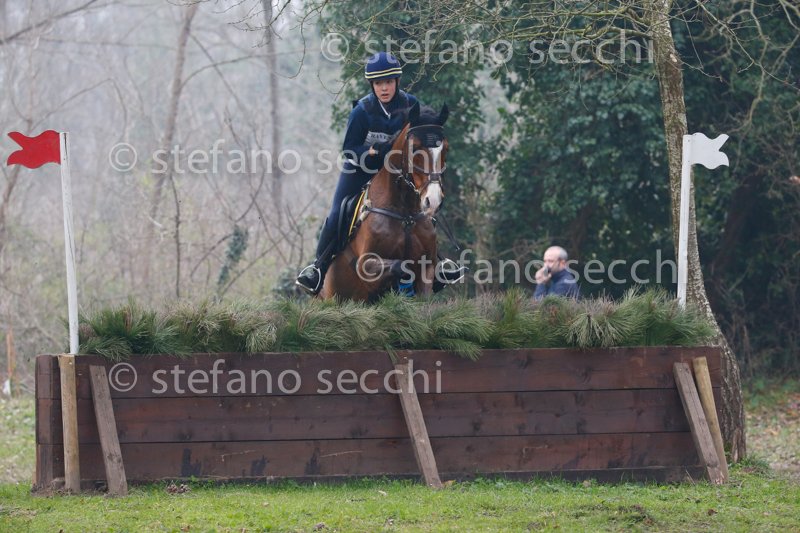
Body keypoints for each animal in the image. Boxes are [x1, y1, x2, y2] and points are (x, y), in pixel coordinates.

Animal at [319, 102, 449, 302]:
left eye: (446, 149)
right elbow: (400, 266)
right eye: (414, 148)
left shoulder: (427, 267)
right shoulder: (366, 265)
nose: (433, 200)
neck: (405, 216)